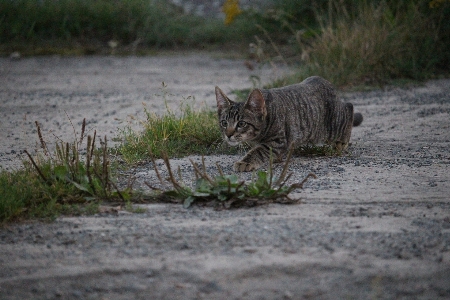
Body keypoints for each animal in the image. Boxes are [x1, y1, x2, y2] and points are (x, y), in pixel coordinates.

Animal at [214, 76, 362, 172]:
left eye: (241, 123)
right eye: (224, 123)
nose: (228, 135)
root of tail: (325, 82)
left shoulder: (277, 141)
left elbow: (259, 151)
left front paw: (245, 162)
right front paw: (275, 159)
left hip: (330, 127)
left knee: (349, 107)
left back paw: (341, 142)